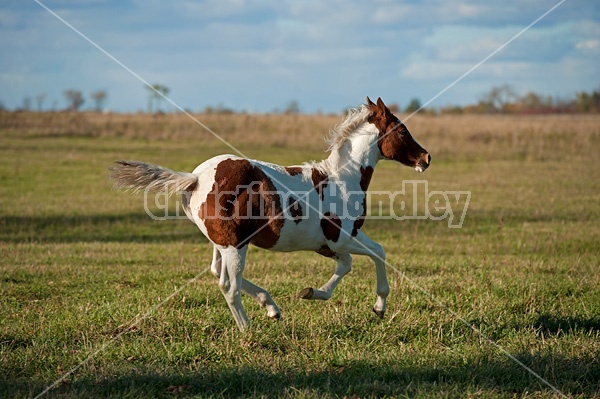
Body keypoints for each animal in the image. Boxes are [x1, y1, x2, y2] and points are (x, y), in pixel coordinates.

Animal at [111, 97, 432, 332]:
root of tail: (195, 178)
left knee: (218, 273)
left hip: (222, 244)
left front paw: (314, 293)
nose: (426, 158)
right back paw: (247, 329)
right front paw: (377, 305)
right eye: (402, 130)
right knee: (229, 285)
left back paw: (272, 309)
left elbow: (354, 261)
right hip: (235, 245)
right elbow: (374, 254)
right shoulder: (340, 238)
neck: (342, 178)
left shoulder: (329, 243)